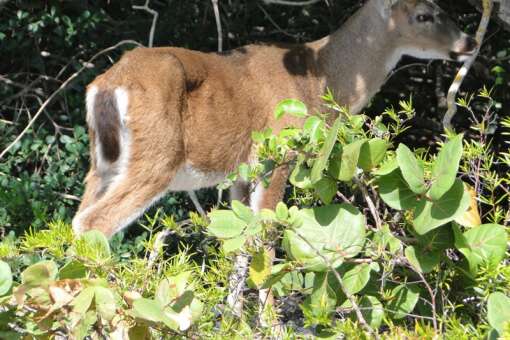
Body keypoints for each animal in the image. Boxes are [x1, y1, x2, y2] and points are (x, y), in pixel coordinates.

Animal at [71, 0, 478, 320]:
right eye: (424, 15)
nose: (470, 42)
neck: (320, 79)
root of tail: (105, 86)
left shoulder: (240, 173)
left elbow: (240, 238)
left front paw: (234, 318)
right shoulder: (279, 153)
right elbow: (266, 236)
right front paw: (269, 322)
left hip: (103, 164)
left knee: (77, 218)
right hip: (156, 156)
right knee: (94, 221)